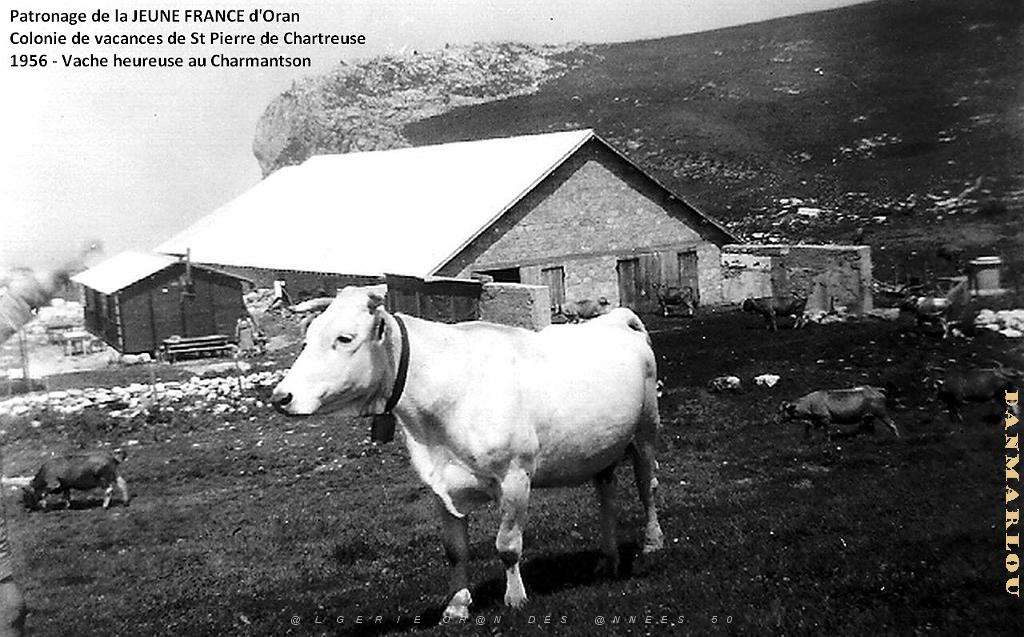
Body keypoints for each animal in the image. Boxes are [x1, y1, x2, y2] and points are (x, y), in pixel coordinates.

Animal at [271, 287, 663, 621]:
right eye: (306, 340)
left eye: (344, 338)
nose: (280, 397)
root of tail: (615, 318)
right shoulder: (439, 485)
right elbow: (454, 550)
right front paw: (457, 605)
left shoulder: (515, 475)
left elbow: (507, 545)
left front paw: (515, 598)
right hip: (602, 446)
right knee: (607, 496)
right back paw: (607, 560)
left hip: (646, 429)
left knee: (647, 486)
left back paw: (652, 543)